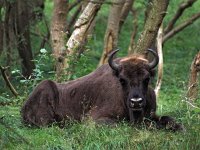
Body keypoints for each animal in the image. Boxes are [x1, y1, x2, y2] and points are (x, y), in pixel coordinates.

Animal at [21, 49, 184, 131]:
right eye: (122, 80)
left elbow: (169, 119)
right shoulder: (96, 119)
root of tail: (24, 107)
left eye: (147, 79)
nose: (136, 101)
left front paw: (179, 127)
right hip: (46, 90)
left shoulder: (152, 114)